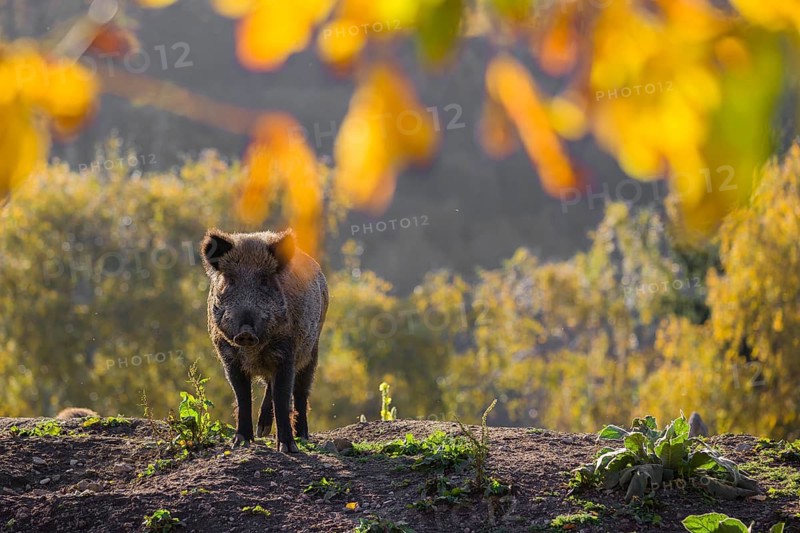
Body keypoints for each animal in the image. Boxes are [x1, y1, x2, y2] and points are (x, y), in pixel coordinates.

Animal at [201, 228, 328, 453]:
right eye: (230, 280)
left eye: (264, 280)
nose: (245, 332)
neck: (253, 350)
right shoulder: (228, 356)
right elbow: (242, 396)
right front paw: (241, 442)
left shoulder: (288, 352)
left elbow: (282, 396)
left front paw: (287, 448)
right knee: (270, 385)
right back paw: (262, 432)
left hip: (312, 349)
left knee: (301, 392)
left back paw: (302, 437)